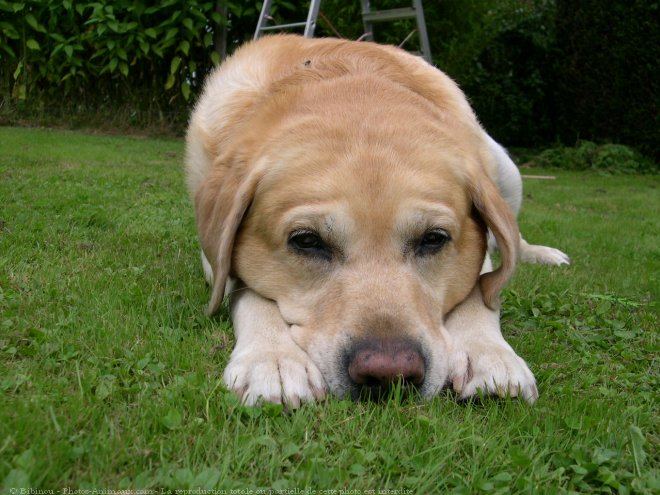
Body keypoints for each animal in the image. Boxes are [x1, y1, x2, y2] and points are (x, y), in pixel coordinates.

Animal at [183, 34, 568, 406]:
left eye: (434, 239)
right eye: (306, 241)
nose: (389, 373)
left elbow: (479, 291)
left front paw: (489, 355)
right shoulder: (212, 261)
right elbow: (247, 291)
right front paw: (272, 359)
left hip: (504, 165)